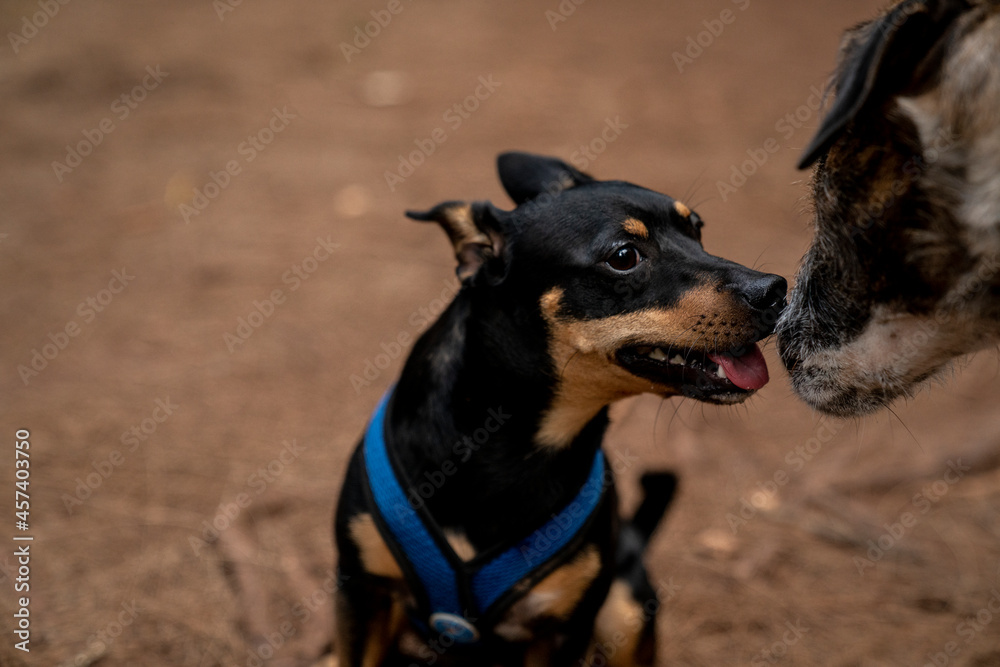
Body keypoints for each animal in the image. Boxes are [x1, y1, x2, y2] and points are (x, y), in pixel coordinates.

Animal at [336, 154, 788, 664]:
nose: (776, 289)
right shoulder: (363, 593)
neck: (507, 447)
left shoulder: (564, 627)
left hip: (625, 612)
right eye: (624, 257)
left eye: (698, 228)